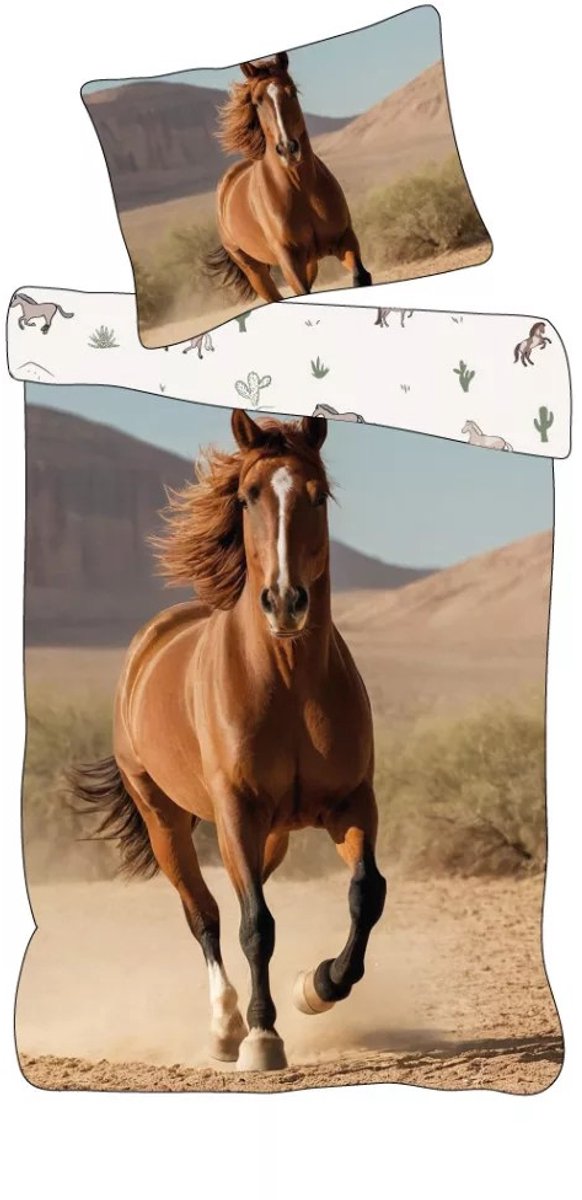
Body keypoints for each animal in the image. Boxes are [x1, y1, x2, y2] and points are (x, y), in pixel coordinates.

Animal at [69, 410, 386, 1072]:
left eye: (320, 496)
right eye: (248, 496)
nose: (286, 602)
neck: (288, 682)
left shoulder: (352, 803)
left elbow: (367, 893)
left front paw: (317, 985)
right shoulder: (237, 812)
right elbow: (254, 925)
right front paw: (263, 1037)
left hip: (272, 834)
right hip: (165, 821)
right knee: (206, 915)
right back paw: (224, 1027)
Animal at [205, 52, 372, 305]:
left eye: (292, 91)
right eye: (257, 101)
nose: (287, 148)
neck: (300, 188)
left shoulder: (344, 239)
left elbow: (361, 276)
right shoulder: (289, 260)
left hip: (310, 262)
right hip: (254, 270)